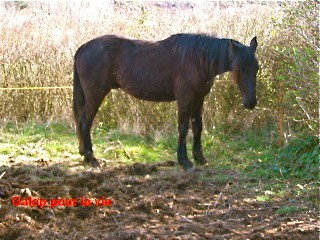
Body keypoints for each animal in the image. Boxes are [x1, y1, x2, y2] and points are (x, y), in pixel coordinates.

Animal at [72, 33, 258, 171]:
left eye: (256, 68)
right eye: (239, 69)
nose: (251, 103)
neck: (197, 59)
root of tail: (84, 47)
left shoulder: (199, 98)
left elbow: (197, 127)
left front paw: (200, 158)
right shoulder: (185, 99)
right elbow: (183, 128)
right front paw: (184, 161)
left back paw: (84, 154)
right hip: (96, 95)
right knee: (85, 121)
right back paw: (91, 157)